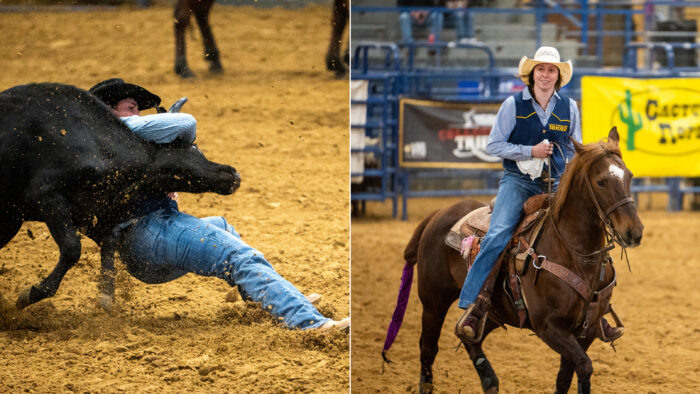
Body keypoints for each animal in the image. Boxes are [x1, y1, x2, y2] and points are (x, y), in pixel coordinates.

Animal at [382, 127, 644, 392]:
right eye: (601, 182)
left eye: (630, 176)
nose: (634, 232)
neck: (575, 254)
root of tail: (438, 213)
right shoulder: (549, 327)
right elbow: (584, 365)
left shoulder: (587, 329)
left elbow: (567, 375)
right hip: (433, 302)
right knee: (428, 348)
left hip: (493, 311)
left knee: (470, 337)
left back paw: (490, 380)